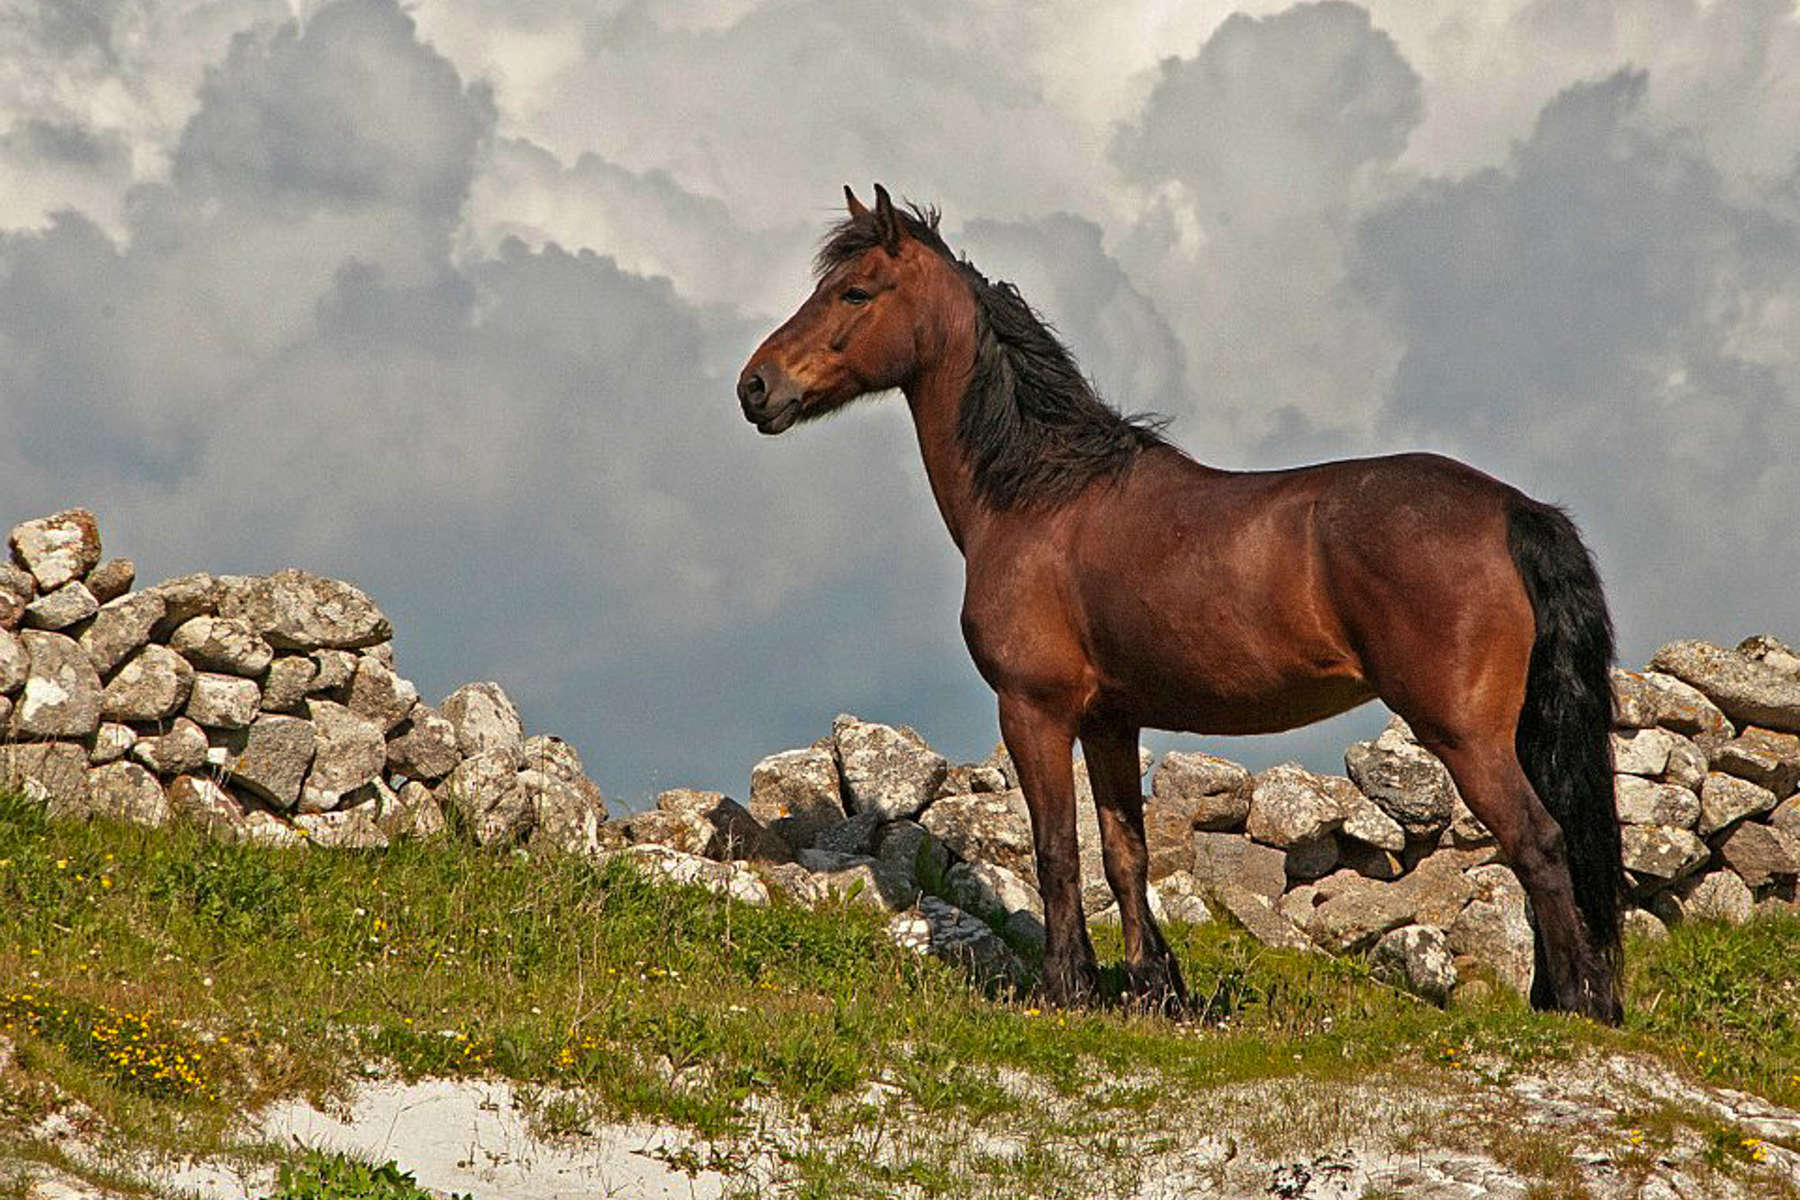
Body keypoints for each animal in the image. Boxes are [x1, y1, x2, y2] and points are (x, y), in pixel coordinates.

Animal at [738, 185, 1627, 1021]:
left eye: (855, 291)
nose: (756, 386)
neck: (1039, 496)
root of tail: (1513, 509)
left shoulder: (1035, 709)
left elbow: (1056, 849)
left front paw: (1068, 988)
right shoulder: (1109, 721)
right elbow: (1123, 853)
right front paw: (1152, 989)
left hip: (1465, 735)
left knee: (1539, 842)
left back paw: (1579, 1005)